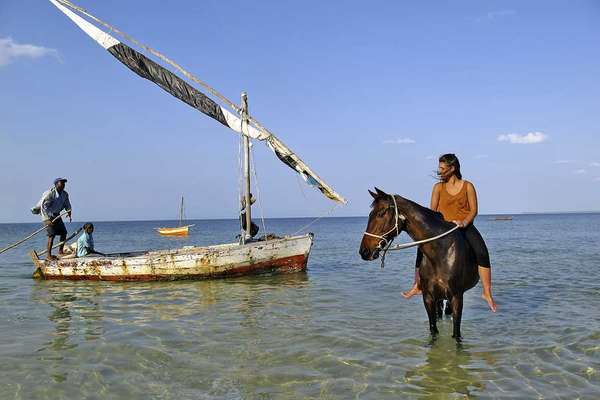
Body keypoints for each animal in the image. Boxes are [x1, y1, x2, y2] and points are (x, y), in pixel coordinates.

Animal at [358, 188, 480, 340]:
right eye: (370, 214)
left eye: (381, 214)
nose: (363, 251)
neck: (440, 250)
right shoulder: (428, 298)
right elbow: (433, 330)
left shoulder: (457, 298)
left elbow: (456, 334)